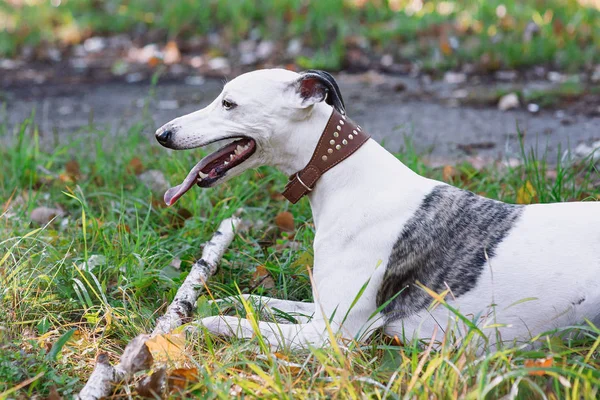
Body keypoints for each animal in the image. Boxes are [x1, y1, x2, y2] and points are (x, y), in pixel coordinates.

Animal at [156, 69, 600, 350]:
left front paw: (192, 328)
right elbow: (258, 302)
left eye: (228, 103)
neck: (346, 178)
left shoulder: (332, 335)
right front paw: (227, 300)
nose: (162, 134)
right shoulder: (321, 312)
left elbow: (233, 323)